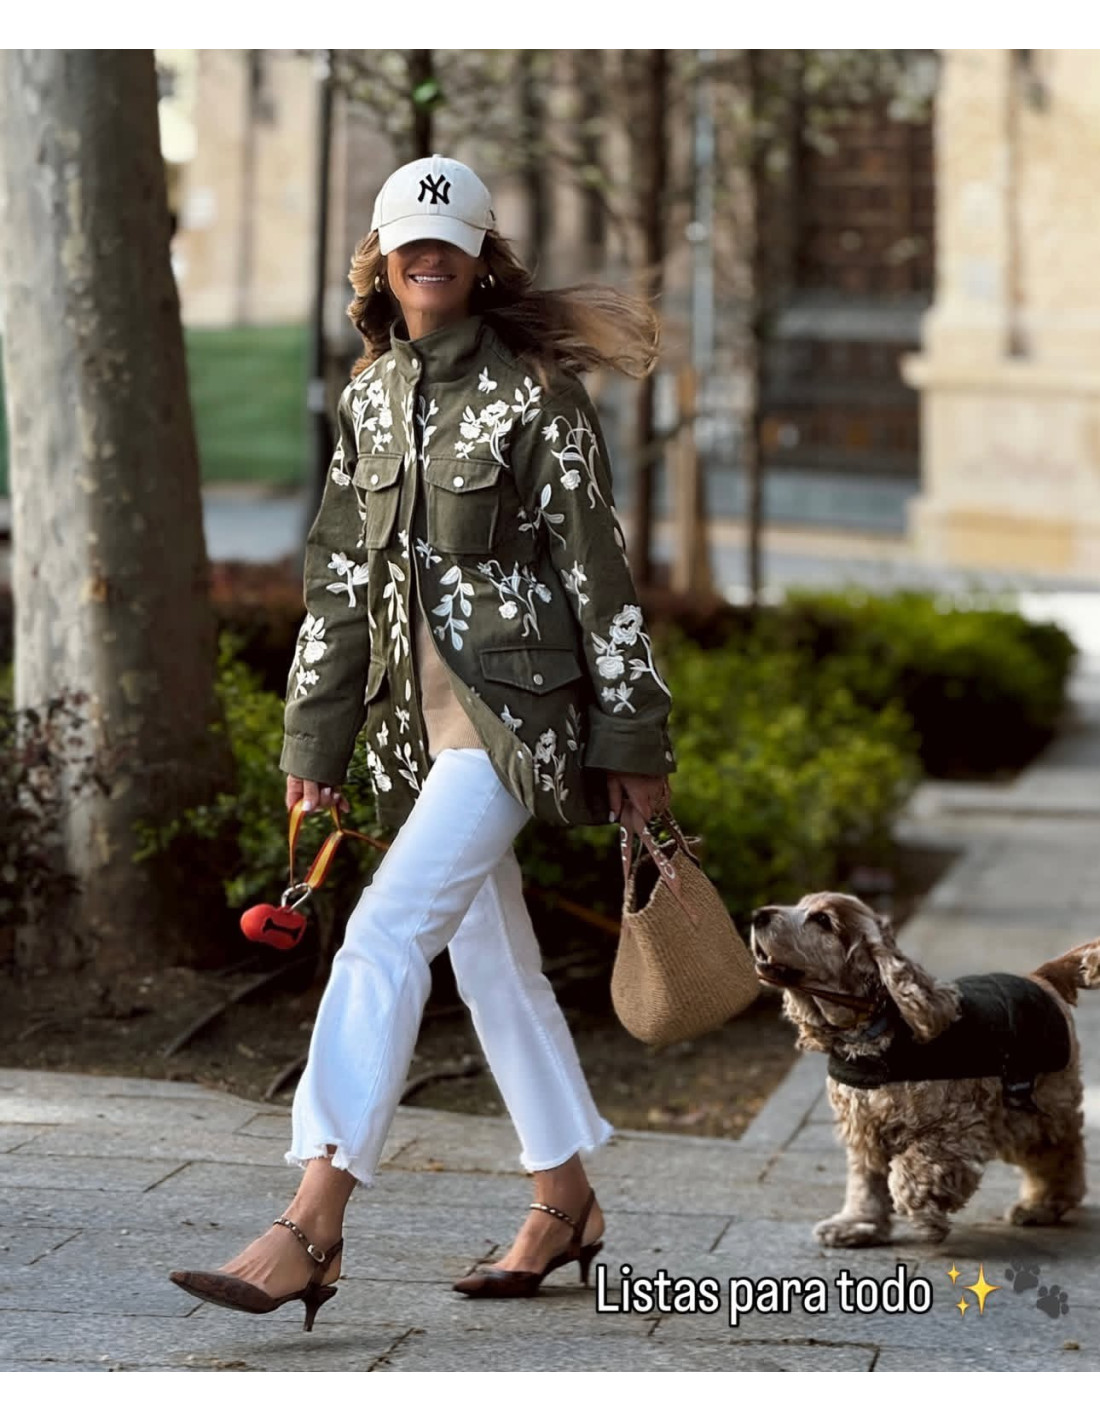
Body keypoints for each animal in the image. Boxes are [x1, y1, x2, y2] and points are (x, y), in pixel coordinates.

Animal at [750, 891, 1100, 1246]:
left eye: (823, 920)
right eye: (799, 905)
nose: (757, 915)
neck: (870, 1034)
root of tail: (1041, 976)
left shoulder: (953, 1130)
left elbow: (908, 1172)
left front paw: (926, 1218)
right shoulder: (864, 1127)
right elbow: (865, 1181)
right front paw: (857, 1224)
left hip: (1034, 1108)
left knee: (1061, 1149)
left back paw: (1044, 1205)